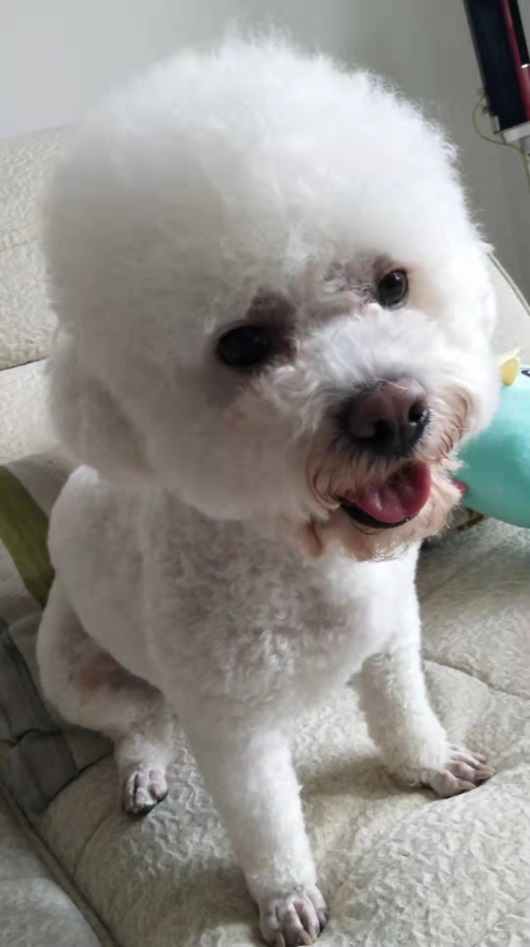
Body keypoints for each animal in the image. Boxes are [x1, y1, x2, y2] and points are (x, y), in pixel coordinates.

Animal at [37, 37, 499, 946]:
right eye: (244, 343)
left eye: (394, 284)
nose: (394, 411)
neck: (302, 557)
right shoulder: (235, 729)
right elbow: (266, 822)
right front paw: (285, 898)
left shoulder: (392, 638)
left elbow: (406, 713)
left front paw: (429, 764)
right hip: (66, 674)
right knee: (137, 723)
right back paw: (141, 771)